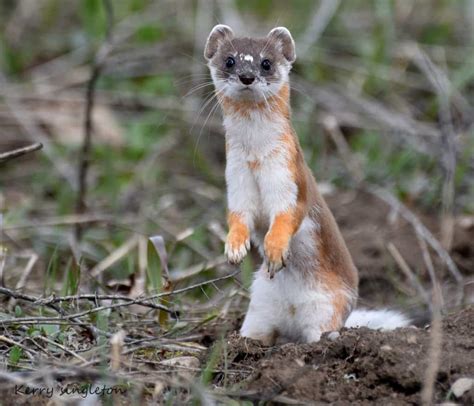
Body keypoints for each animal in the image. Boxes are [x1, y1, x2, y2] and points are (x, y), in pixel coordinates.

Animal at [206, 24, 410, 342]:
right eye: (229, 60)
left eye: (266, 62)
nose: (247, 76)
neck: (256, 159)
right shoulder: (236, 179)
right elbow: (239, 216)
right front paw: (235, 247)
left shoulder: (291, 177)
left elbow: (289, 214)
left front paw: (275, 249)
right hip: (260, 306)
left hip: (327, 309)